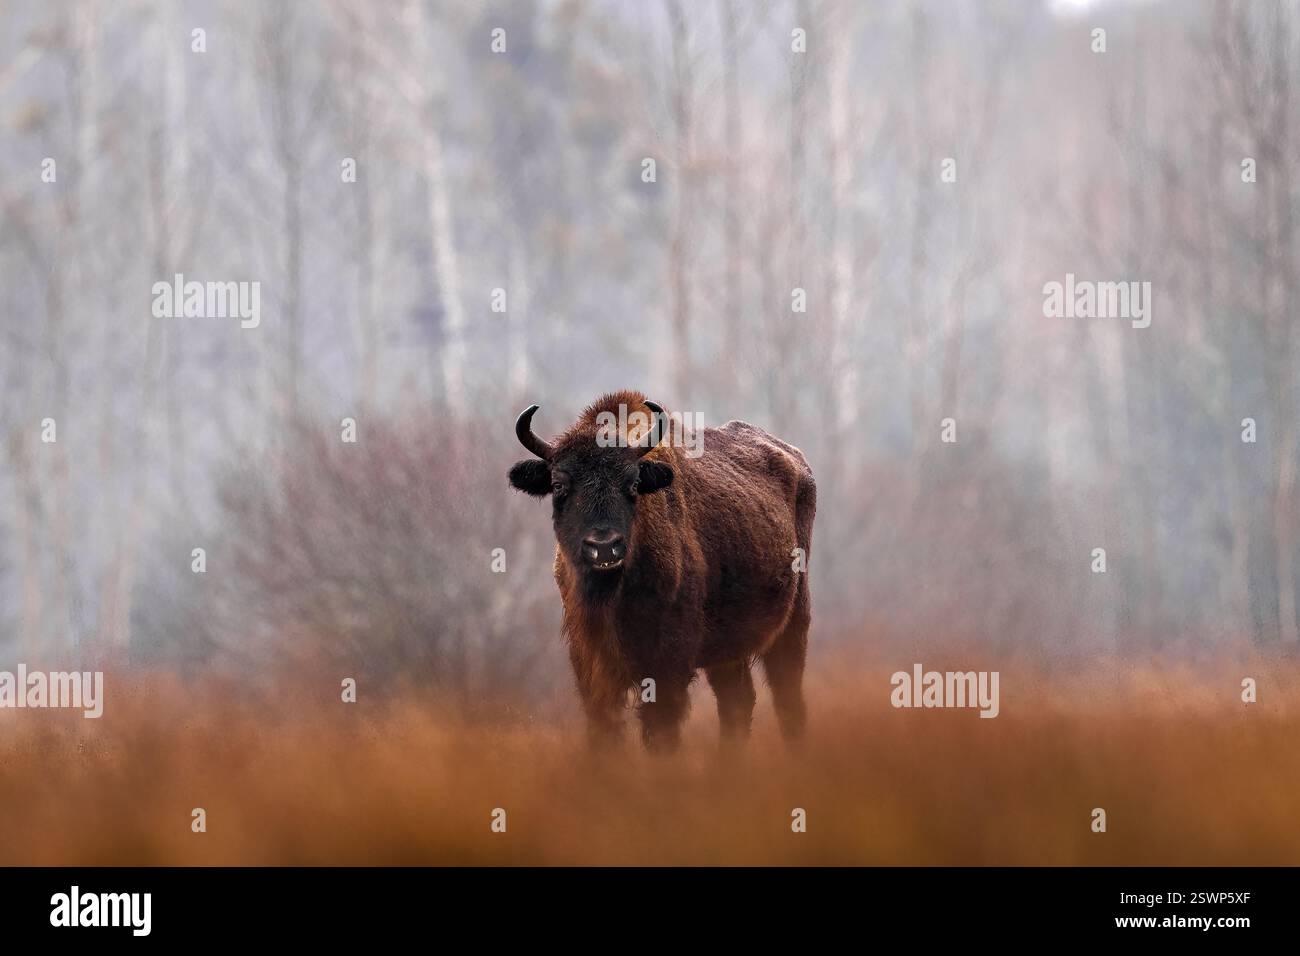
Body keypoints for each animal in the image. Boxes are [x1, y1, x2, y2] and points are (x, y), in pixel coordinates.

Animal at [508, 391, 815, 751]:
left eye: (632, 484)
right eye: (558, 485)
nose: (604, 547)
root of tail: (797, 461)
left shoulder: (667, 666)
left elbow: (661, 731)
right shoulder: (591, 663)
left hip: (793, 623)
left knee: (787, 697)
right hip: (729, 650)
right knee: (738, 702)